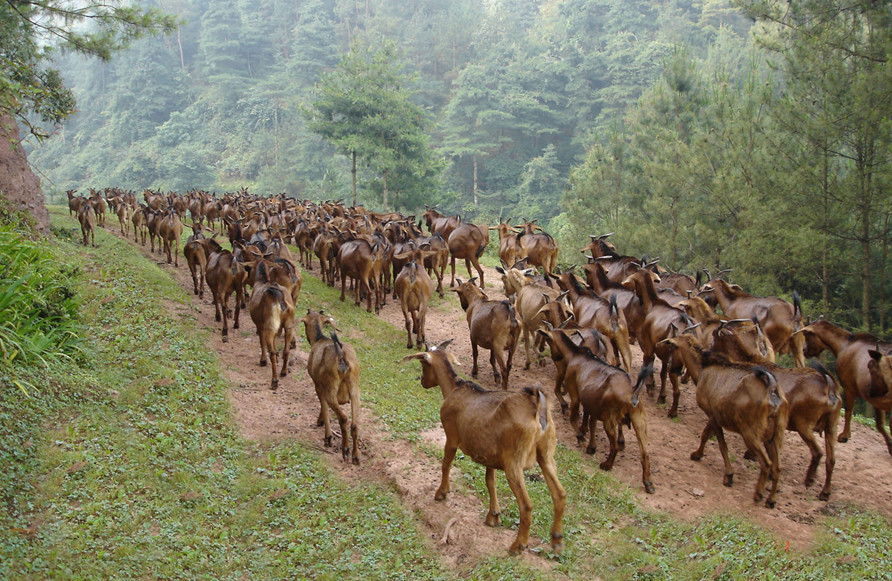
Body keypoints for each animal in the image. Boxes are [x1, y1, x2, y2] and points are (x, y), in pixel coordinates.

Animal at [247, 262, 296, 390]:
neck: (263, 280)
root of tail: (280, 299)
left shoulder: (260, 325)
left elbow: (262, 342)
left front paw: (263, 360)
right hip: (288, 324)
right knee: (286, 350)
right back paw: (283, 371)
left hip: (269, 326)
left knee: (272, 352)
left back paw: (274, 380)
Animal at [296, 310, 358, 464]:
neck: (319, 339)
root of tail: (342, 358)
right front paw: (320, 421)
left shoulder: (318, 385)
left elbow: (323, 405)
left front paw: (328, 436)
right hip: (355, 391)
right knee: (354, 424)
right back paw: (355, 456)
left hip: (331, 389)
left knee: (343, 418)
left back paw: (345, 450)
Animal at [402, 342, 564, 556]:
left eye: (423, 364)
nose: (422, 381)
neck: (454, 388)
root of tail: (536, 405)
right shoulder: (490, 454)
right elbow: (490, 481)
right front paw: (493, 515)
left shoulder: (451, 437)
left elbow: (446, 464)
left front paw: (441, 493)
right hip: (546, 454)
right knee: (560, 494)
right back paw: (557, 540)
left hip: (514, 462)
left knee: (527, 505)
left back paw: (518, 545)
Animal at [656, 336, 788, 508]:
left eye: (670, 345)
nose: (674, 369)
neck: (704, 369)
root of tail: (773, 392)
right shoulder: (714, 415)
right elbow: (706, 435)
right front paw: (697, 454)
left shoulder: (713, 416)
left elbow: (720, 444)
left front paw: (728, 475)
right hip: (775, 436)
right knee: (777, 466)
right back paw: (771, 500)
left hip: (750, 433)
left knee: (766, 463)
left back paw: (758, 494)